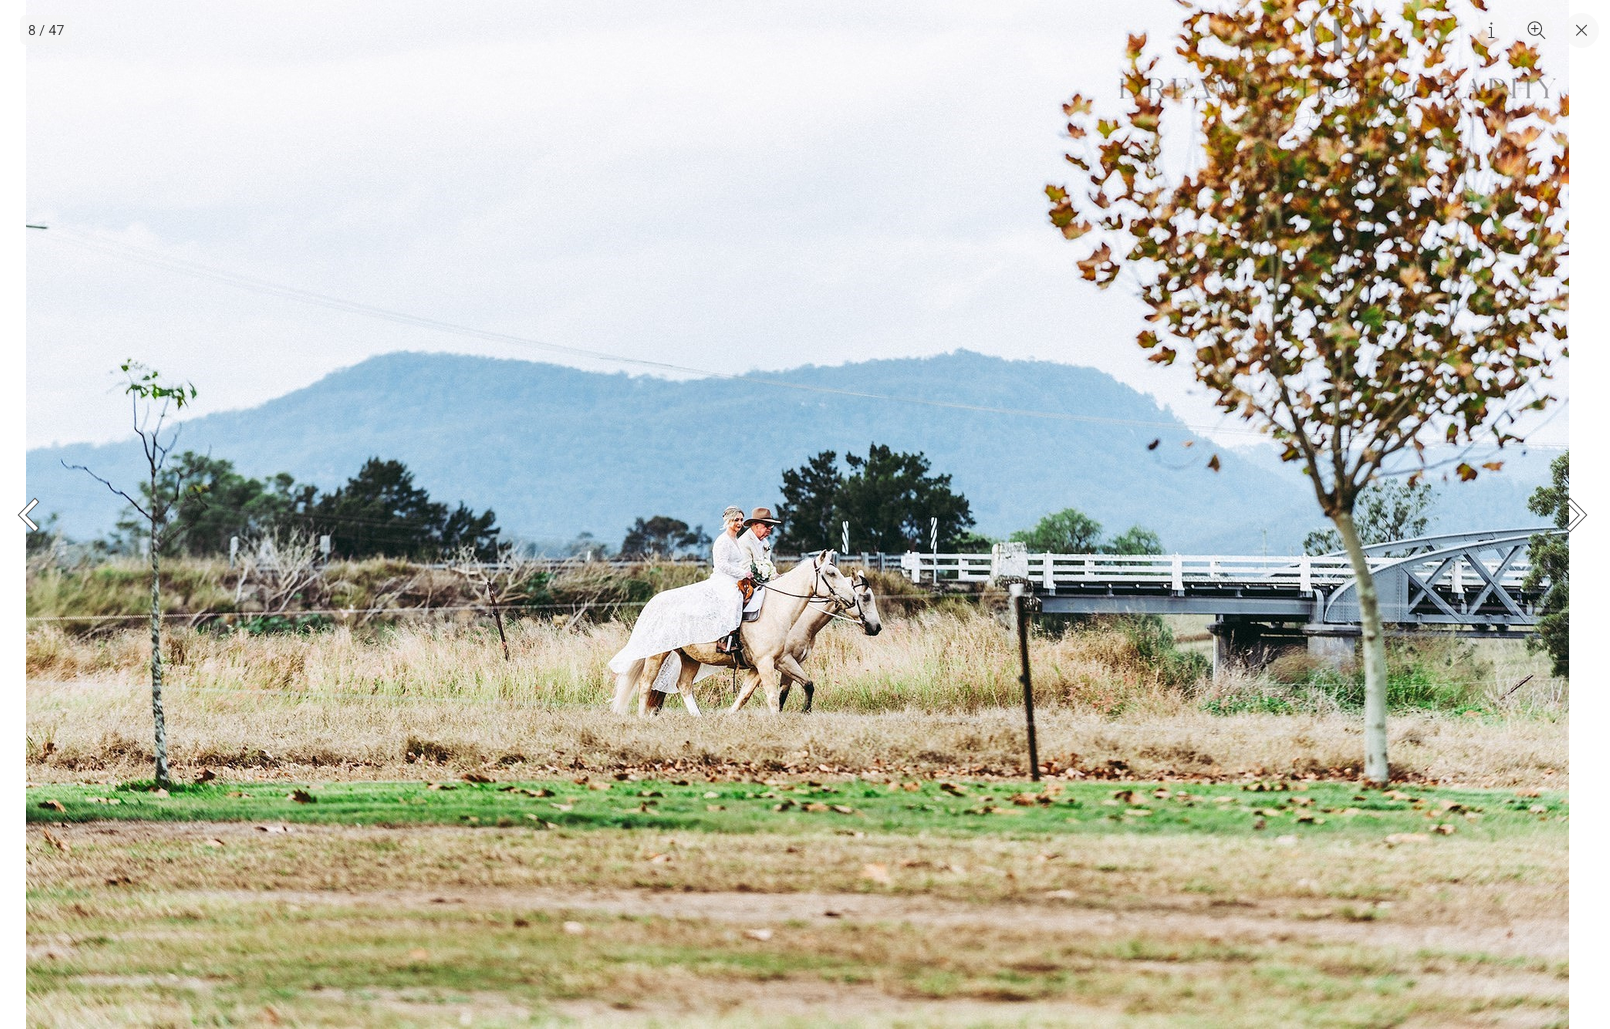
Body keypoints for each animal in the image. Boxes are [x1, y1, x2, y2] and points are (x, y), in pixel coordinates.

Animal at [609, 551, 861, 716]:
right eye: (831, 572)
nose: (852, 598)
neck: (776, 608)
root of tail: (654, 602)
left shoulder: (764, 664)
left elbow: (746, 694)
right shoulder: (767, 662)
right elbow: (772, 696)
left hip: (689, 657)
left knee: (684, 685)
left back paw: (698, 718)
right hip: (656, 654)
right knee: (645, 685)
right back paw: (643, 718)